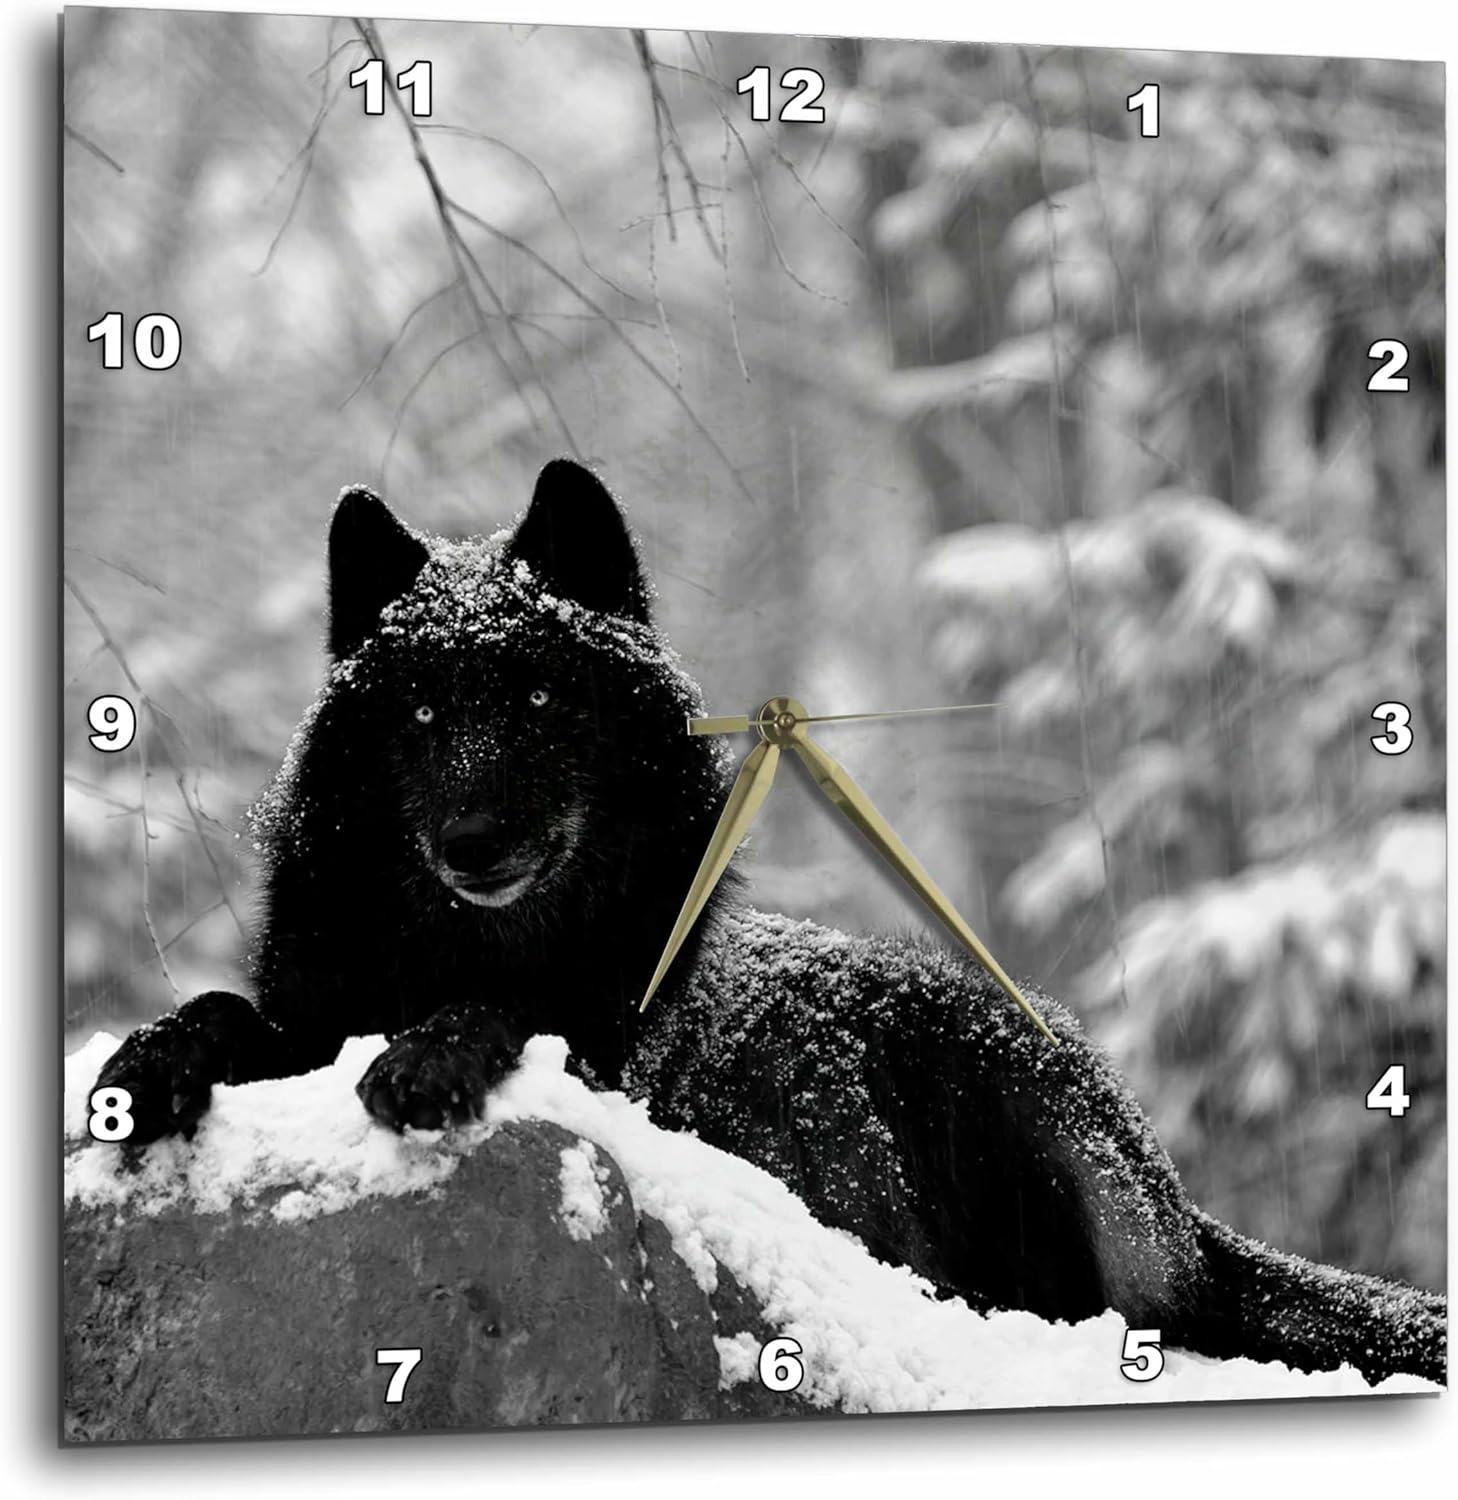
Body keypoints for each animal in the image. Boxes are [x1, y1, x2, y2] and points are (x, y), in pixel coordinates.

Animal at [93, 458, 1445, 1387]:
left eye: (537, 700)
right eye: (422, 718)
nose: (473, 843)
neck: (467, 943)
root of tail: (1182, 1213)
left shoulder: (613, 1053)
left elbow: (510, 1011)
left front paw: (432, 1053)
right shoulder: (313, 1010)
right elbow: (228, 1012)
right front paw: (147, 1065)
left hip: (987, 1067)